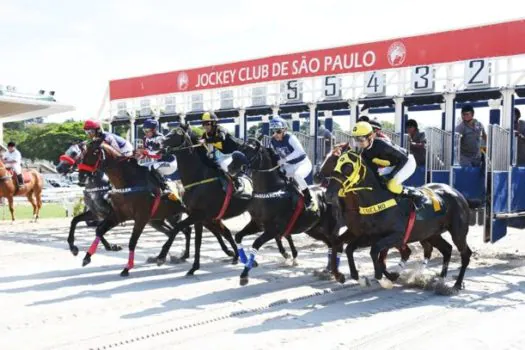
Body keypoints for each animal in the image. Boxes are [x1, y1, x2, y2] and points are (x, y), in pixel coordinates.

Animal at [228, 138, 340, 286]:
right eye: (240, 148)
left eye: (249, 151)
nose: (231, 168)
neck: (272, 191)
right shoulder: (257, 224)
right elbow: (238, 237)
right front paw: (247, 261)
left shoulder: (273, 229)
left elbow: (256, 244)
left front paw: (244, 274)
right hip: (313, 229)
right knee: (329, 244)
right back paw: (328, 269)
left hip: (328, 226)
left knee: (335, 243)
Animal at [320, 148, 470, 292]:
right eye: (335, 163)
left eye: (347, 167)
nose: (328, 194)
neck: (376, 201)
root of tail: (456, 192)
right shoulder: (368, 235)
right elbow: (349, 248)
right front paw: (354, 277)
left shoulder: (396, 235)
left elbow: (375, 252)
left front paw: (384, 280)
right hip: (431, 233)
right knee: (446, 249)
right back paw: (440, 280)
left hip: (458, 233)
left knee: (465, 253)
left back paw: (457, 284)